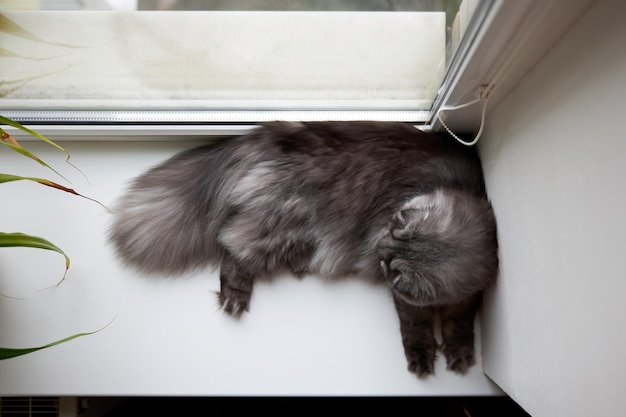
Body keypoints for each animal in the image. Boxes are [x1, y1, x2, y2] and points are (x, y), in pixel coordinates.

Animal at [108, 120, 498, 376]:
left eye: (395, 242)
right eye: (394, 226)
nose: (379, 248)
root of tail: (264, 134)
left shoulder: (469, 296)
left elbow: (459, 324)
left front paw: (459, 353)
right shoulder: (406, 303)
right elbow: (414, 326)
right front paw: (421, 356)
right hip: (282, 225)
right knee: (231, 243)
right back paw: (235, 293)